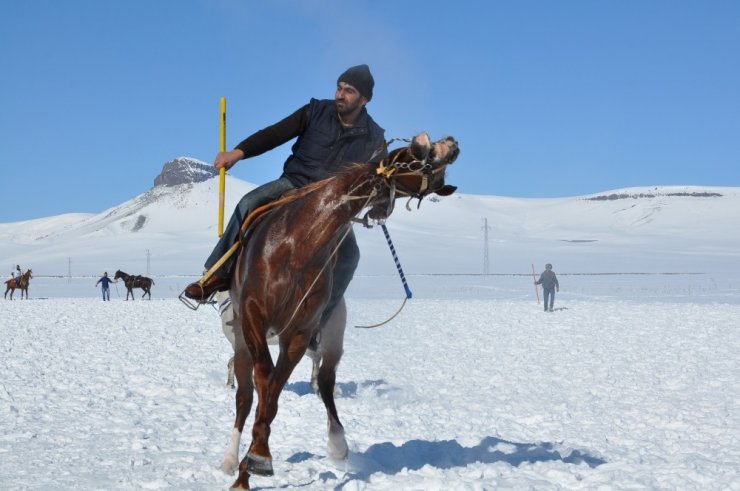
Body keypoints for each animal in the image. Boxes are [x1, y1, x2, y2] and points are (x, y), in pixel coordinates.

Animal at [223, 133, 460, 490]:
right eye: (423, 155)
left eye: (437, 183)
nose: (452, 143)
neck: (298, 244)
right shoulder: (252, 315)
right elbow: (264, 379)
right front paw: (249, 462)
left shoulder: (300, 331)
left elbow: (276, 390)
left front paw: (259, 454)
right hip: (241, 337)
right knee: (245, 395)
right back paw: (229, 459)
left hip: (332, 335)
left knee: (324, 382)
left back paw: (337, 443)